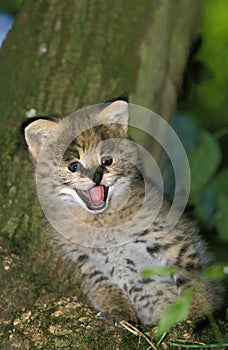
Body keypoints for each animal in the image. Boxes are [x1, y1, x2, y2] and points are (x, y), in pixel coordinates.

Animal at [24, 99, 222, 326]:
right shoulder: (86, 263)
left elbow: (193, 280)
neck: (100, 221)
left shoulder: (175, 242)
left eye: (106, 161)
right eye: (74, 166)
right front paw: (117, 312)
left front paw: (198, 317)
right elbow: (104, 288)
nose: (97, 177)